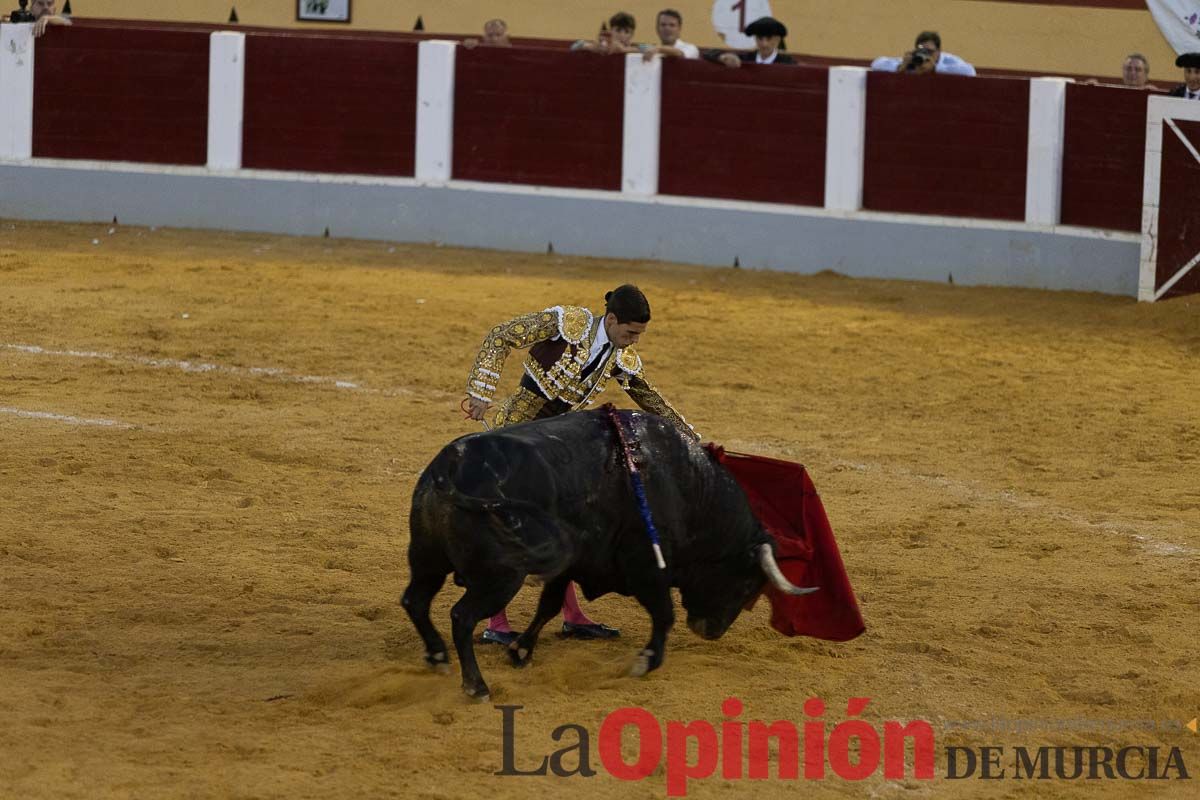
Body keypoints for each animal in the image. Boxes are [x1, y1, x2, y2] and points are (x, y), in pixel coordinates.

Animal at [403, 410, 816, 695]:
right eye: (747, 584)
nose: (710, 631)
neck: (688, 487)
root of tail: (450, 463)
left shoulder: (573, 564)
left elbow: (548, 606)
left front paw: (521, 651)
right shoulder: (647, 568)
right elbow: (664, 615)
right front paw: (645, 663)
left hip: (427, 559)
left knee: (415, 600)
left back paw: (438, 657)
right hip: (501, 577)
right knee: (461, 616)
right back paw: (476, 686)